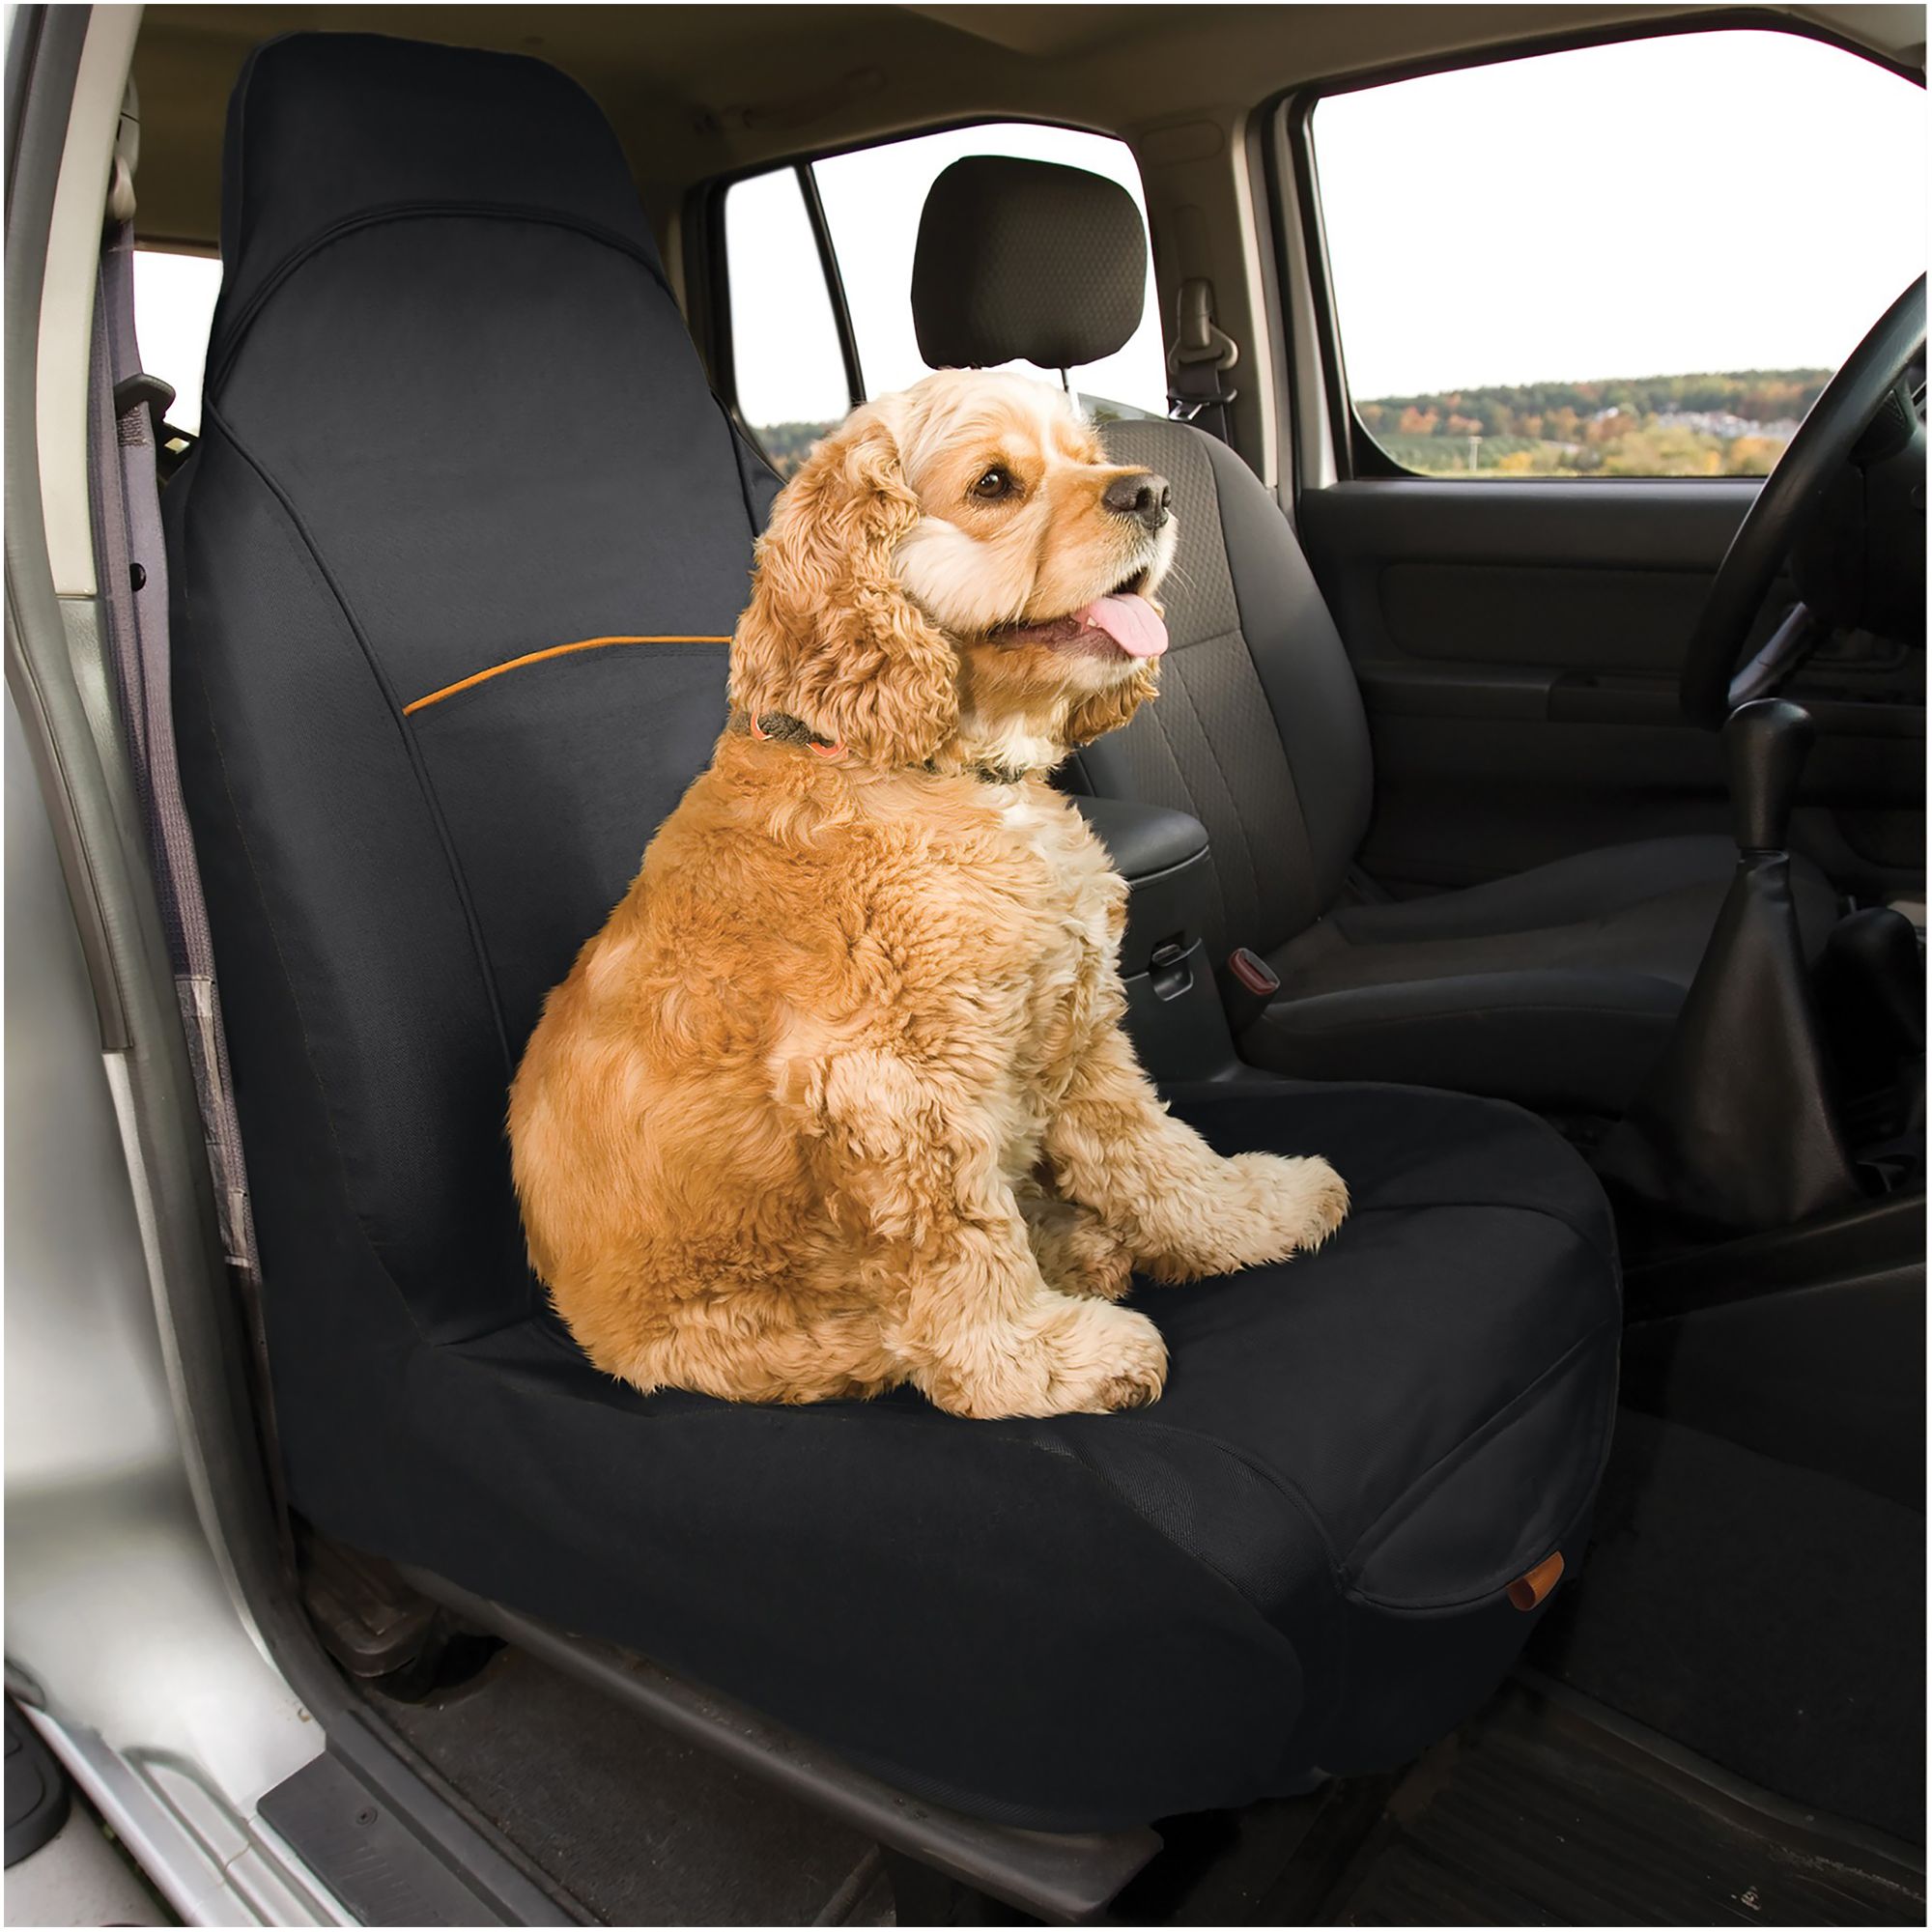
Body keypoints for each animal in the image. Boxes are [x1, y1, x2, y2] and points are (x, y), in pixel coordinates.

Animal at [514, 369, 1360, 1422]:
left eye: (1088, 455)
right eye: (994, 482)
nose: (1153, 493)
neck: (940, 771)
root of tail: (580, 1320)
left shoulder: (1074, 1023)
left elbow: (1150, 1152)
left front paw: (1252, 1212)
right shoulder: (890, 1089)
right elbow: (959, 1252)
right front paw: (1039, 1363)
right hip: (735, 1324)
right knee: (870, 1335)